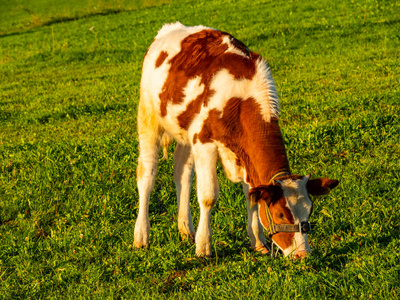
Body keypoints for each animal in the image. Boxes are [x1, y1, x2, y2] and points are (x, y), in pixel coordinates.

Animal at [134, 22, 338, 258]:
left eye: (309, 210)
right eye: (280, 214)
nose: (302, 254)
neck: (240, 99)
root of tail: (171, 28)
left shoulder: (242, 154)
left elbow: (252, 195)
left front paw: (258, 242)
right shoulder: (204, 142)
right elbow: (208, 195)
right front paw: (204, 246)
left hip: (184, 132)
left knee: (182, 174)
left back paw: (186, 229)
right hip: (148, 116)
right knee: (147, 175)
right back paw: (141, 236)